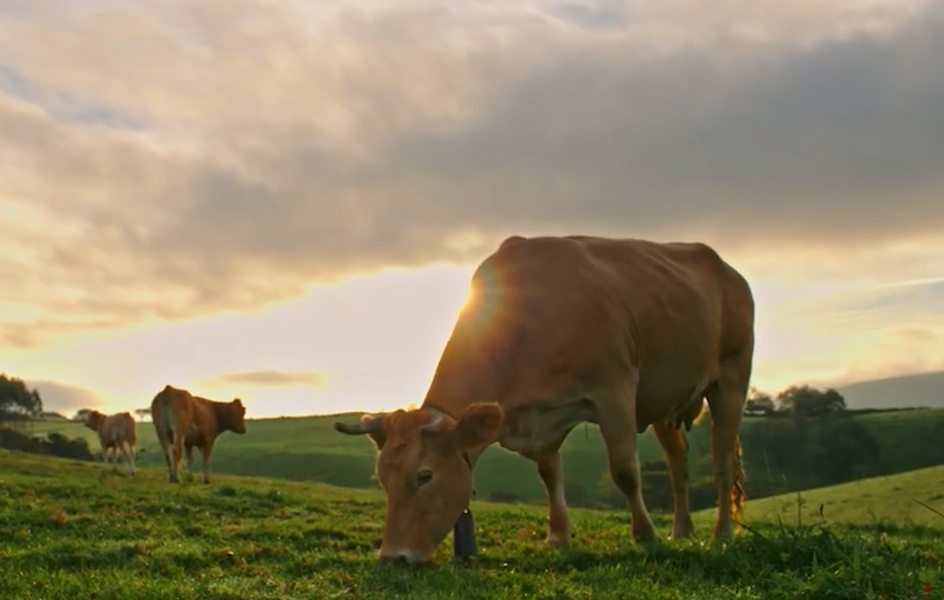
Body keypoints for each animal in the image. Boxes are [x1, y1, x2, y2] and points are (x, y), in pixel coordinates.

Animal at [336, 234, 756, 564]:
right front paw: (558, 536)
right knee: (678, 462)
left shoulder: (615, 390)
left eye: (424, 476)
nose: (393, 556)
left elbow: (625, 470)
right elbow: (550, 474)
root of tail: (728, 270)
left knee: (723, 461)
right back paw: (682, 529)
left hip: (731, 379)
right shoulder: (541, 416)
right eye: (382, 479)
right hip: (666, 401)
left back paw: (722, 532)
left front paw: (644, 534)